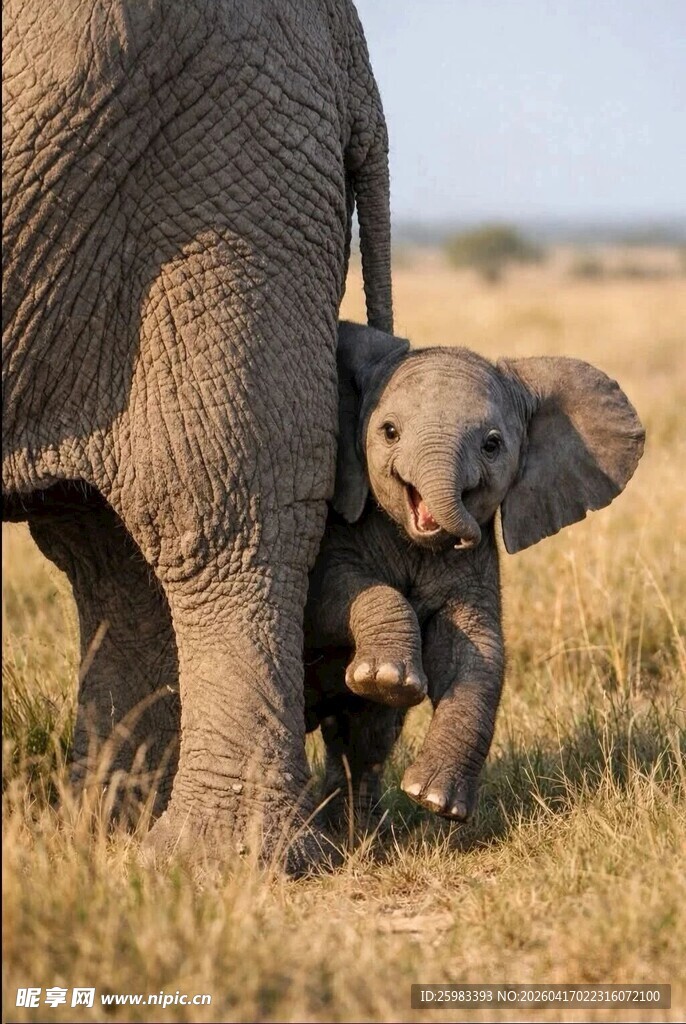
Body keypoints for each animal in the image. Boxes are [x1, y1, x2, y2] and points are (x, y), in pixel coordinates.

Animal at [2, 0, 393, 869]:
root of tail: (348, 45)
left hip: (227, 176)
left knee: (212, 502)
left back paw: (214, 860)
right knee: (103, 548)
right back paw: (99, 831)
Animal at [304, 322, 645, 823]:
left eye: (492, 445)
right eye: (389, 432)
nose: (464, 535)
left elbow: (477, 651)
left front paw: (434, 800)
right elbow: (331, 594)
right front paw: (388, 678)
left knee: (363, 738)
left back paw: (346, 829)